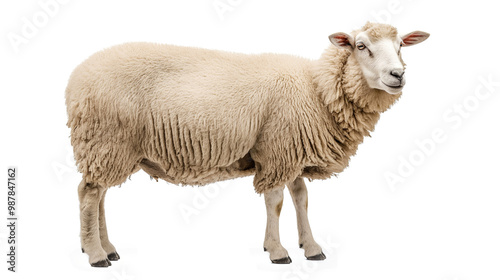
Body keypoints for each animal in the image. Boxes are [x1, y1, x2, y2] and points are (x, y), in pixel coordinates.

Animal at [64, 22, 428, 266]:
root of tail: (75, 79)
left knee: (99, 195)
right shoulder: (277, 150)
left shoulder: (292, 151)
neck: (315, 90)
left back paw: (105, 246)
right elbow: (276, 201)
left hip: (108, 148)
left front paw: (311, 247)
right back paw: (95, 254)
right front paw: (277, 251)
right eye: (361, 46)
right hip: (106, 140)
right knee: (88, 194)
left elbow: (301, 198)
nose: (398, 74)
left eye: (401, 45)